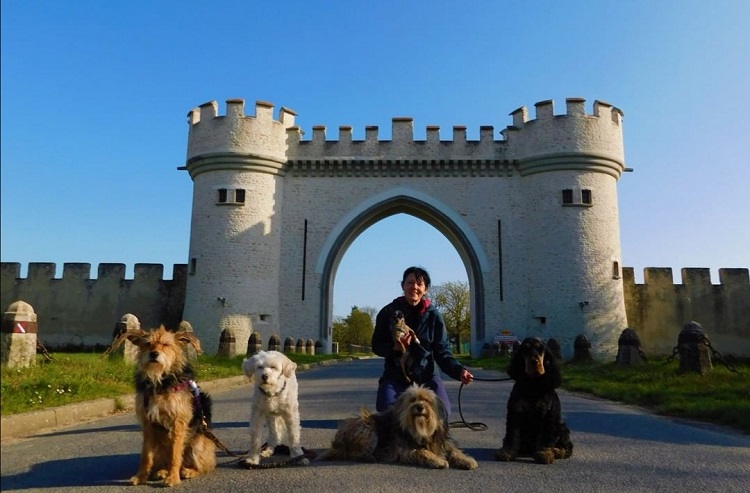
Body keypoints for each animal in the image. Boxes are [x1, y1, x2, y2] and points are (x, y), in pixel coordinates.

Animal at [494, 336, 576, 464]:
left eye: (541, 349)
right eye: (525, 349)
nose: (534, 362)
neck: (533, 384)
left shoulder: (548, 415)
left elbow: (545, 437)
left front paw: (544, 453)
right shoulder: (515, 412)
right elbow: (512, 435)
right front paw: (506, 453)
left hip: (561, 426)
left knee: (568, 447)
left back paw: (557, 451)